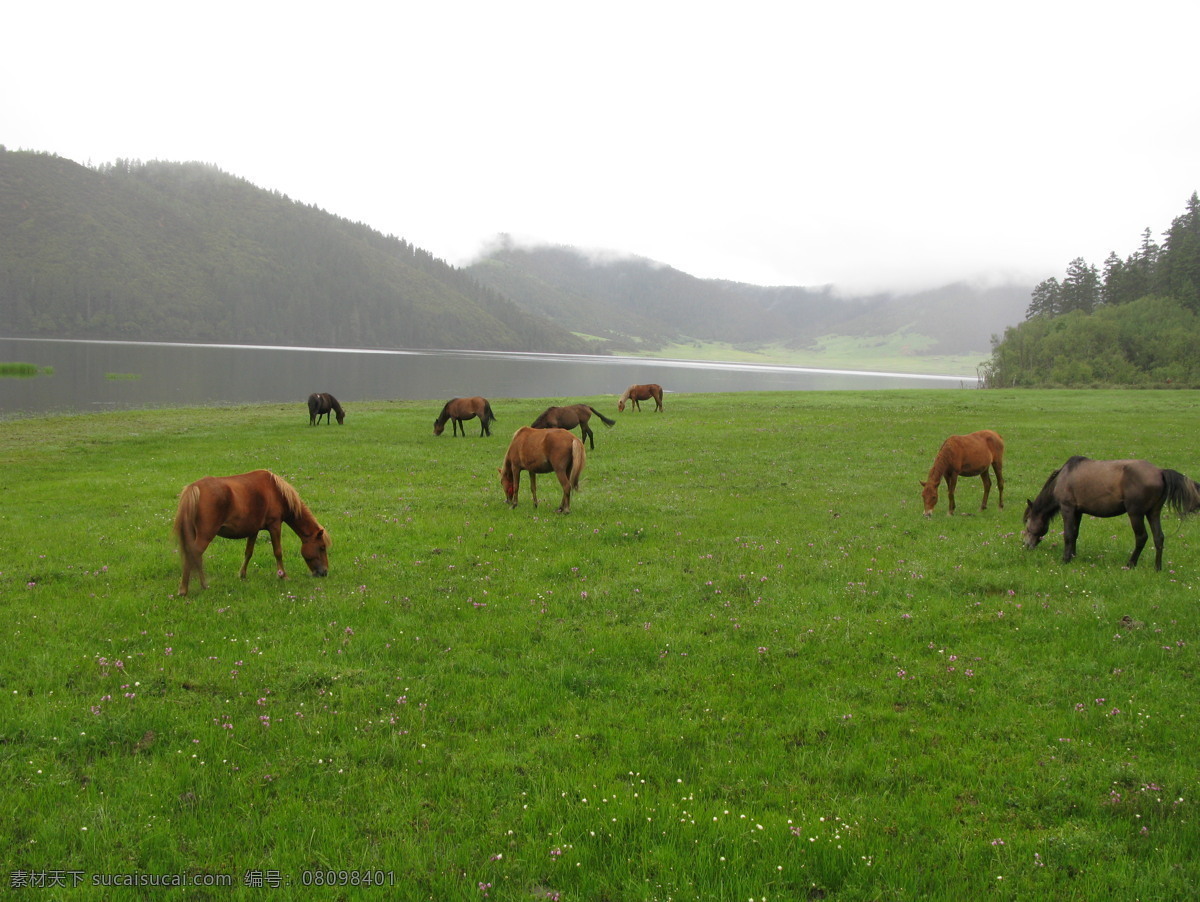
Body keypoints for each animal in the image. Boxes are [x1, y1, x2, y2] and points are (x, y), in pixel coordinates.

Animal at [171, 467, 331, 594]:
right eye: (322, 547)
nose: (324, 572)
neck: (276, 491)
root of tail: (194, 488)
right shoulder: (274, 525)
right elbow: (278, 552)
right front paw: (283, 575)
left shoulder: (253, 530)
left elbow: (248, 552)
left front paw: (242, 574)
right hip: (205, 535)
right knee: (194, 555)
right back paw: (186, 589)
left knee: (195, 557)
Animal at [1022, 458, 1200, 570]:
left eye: (1027, 522)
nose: (1026, 545)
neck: (1064, 477)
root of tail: (1160, 472)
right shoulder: (1078, 511)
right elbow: (1075, 534)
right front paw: (1073, 555)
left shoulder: (1068, 508)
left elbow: (1068, 534)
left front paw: (1065, 559)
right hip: (1153, 513)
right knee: (1159, 538)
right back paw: (1157, 568)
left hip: (1136, 513)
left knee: (1141, 537)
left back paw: (1130, 564)